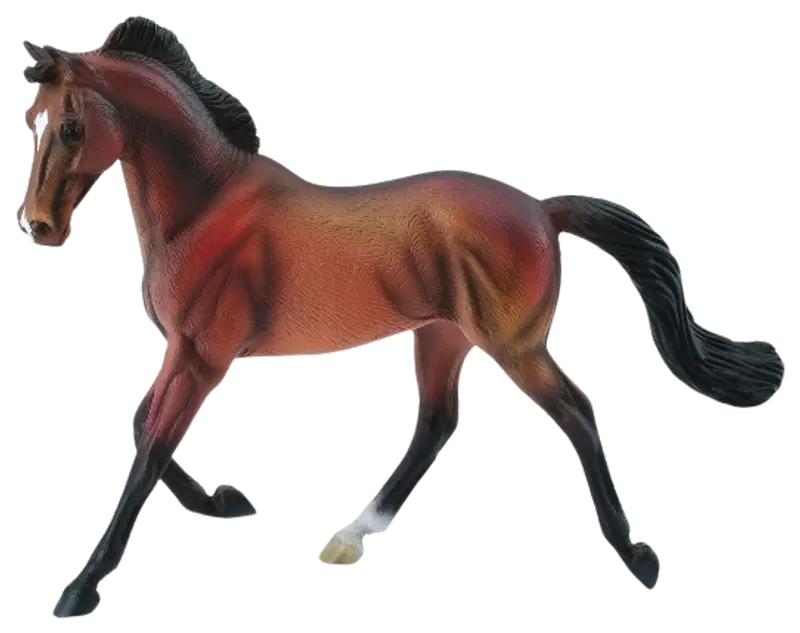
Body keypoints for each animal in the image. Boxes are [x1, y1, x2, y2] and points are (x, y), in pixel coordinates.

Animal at [19, 17, 783, 619]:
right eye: (33, 124)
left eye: (75, 127)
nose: (39, 227)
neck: (206, 206)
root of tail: (544, 209)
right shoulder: (183, 351)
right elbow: (141, 427)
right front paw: (224, 504)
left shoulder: (202, 353)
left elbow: (150, 445)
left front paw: (79, 591)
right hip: (442, 334)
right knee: (439, 421)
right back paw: (348, 537)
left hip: (512, 344)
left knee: (576, 413)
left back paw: (638, 559)